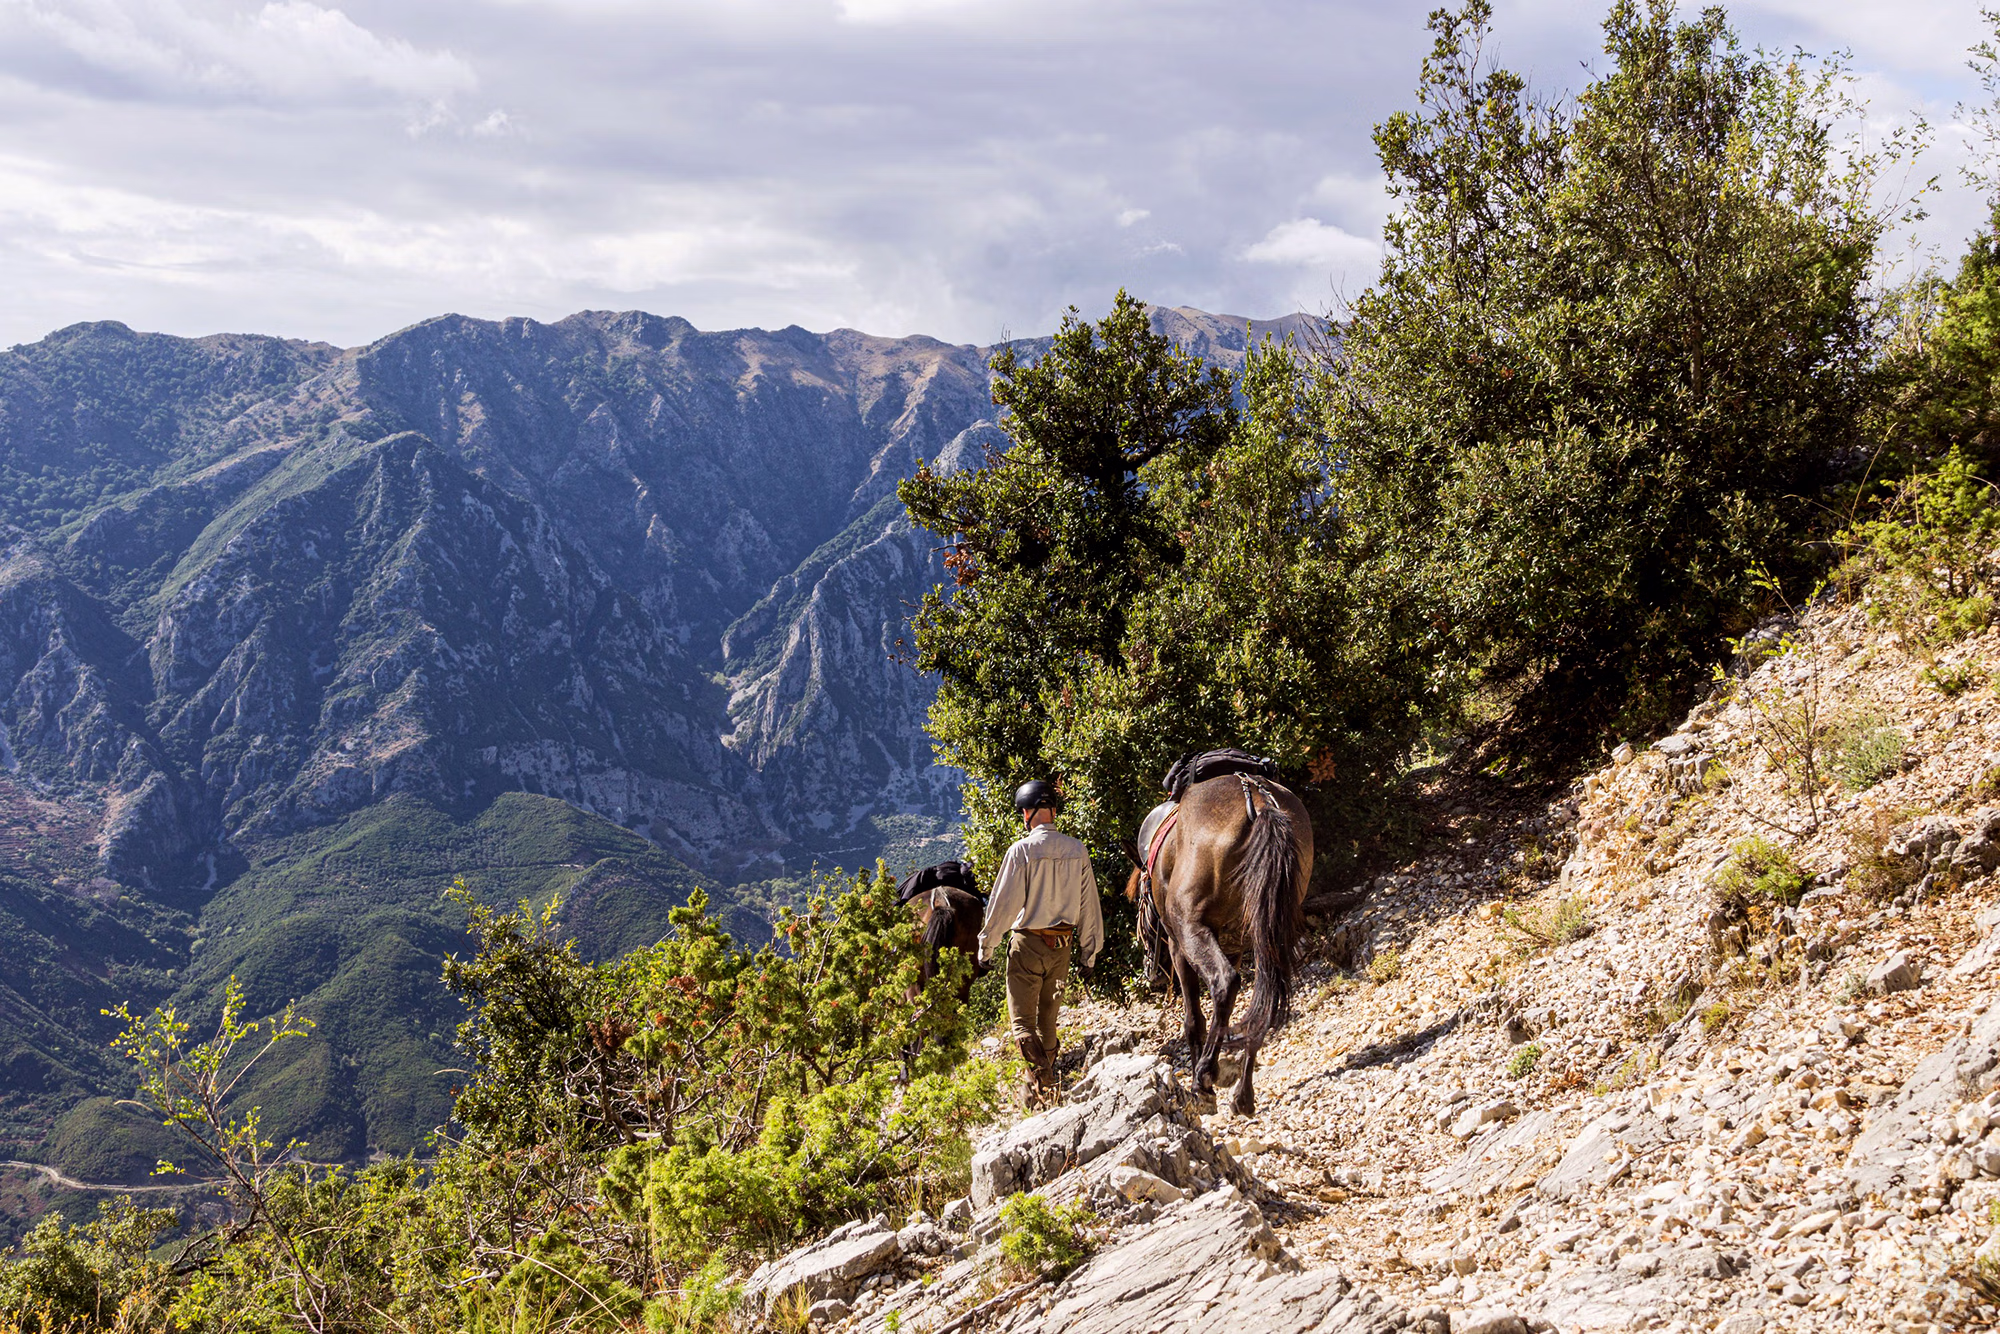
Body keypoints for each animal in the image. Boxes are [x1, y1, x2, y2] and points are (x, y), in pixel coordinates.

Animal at [1127, 773, 1312, 1116]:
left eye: (1138, 904)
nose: (1150, 972)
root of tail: (1259, 800)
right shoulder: (1235, 947)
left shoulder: (1179, 947)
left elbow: (1194, 1019)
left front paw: (1203, 1079)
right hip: (1266, 931)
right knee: (1264, 998)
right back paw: (1243, 1095)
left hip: (1192, 931)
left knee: (1225, 984)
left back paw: (1203, 1076)